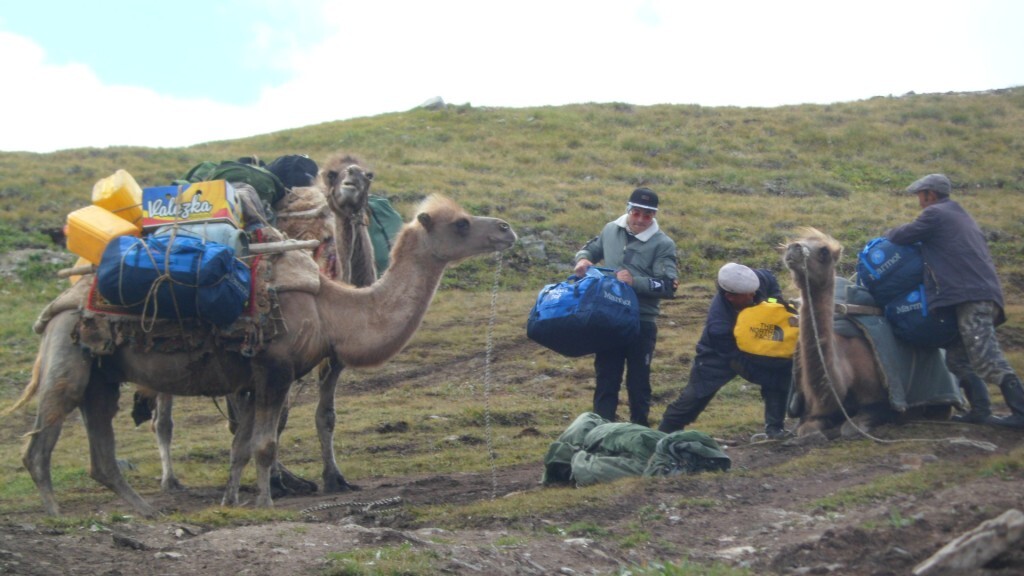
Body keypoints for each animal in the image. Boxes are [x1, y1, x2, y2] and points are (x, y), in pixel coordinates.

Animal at [12, 194, 516, 512]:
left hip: (102, 372)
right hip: (68, 354)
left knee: (100, 453)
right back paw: (57, 513)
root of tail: (58, 304)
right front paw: (267, 502)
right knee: (40, 443)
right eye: (461, 223)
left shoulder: (253, 379)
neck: (332, 309)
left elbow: (239, 447)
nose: (506, 228)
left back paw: (146, 513)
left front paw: (231, 501)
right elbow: (265, 444)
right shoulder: (274, 370)